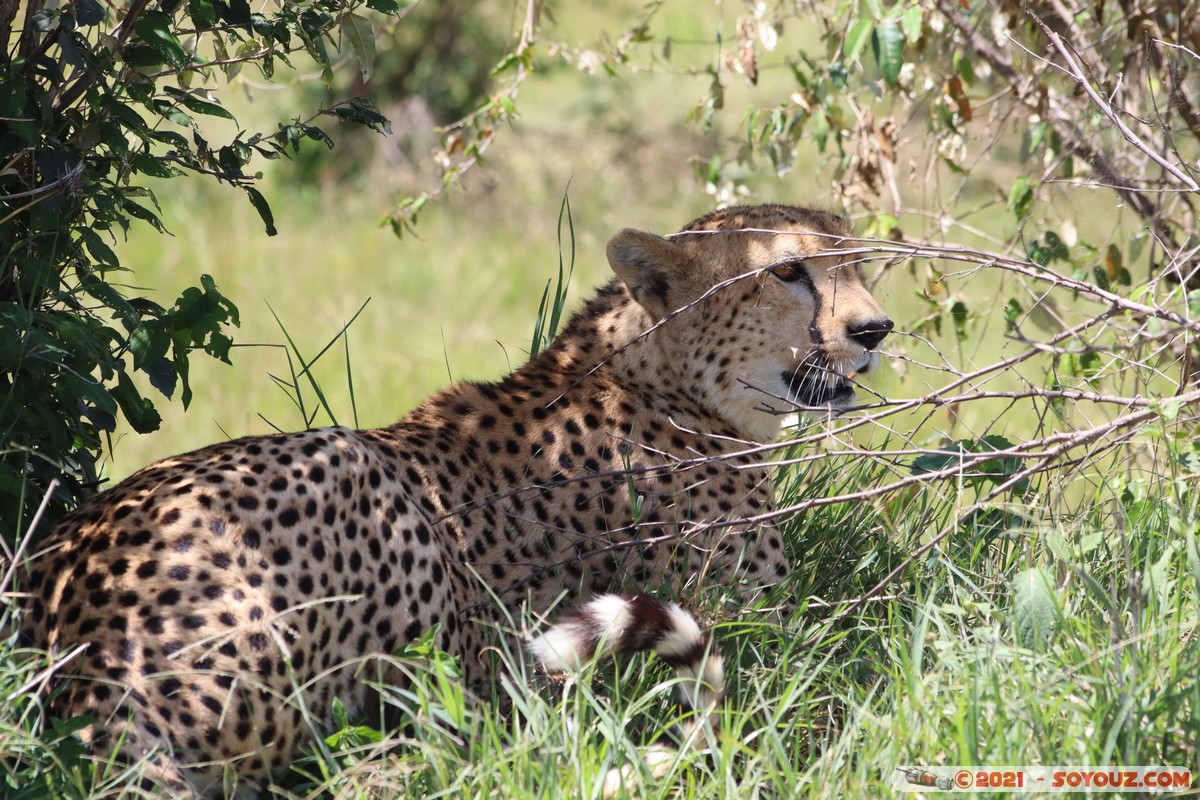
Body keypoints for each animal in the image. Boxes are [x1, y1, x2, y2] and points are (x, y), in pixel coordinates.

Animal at [18, 205, 892, 796]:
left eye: (863, 264)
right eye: (786, 272)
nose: (876, 329)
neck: (663, 376)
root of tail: (85, 641)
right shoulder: (768, 621)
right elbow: (847, 662)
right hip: (360, 481)